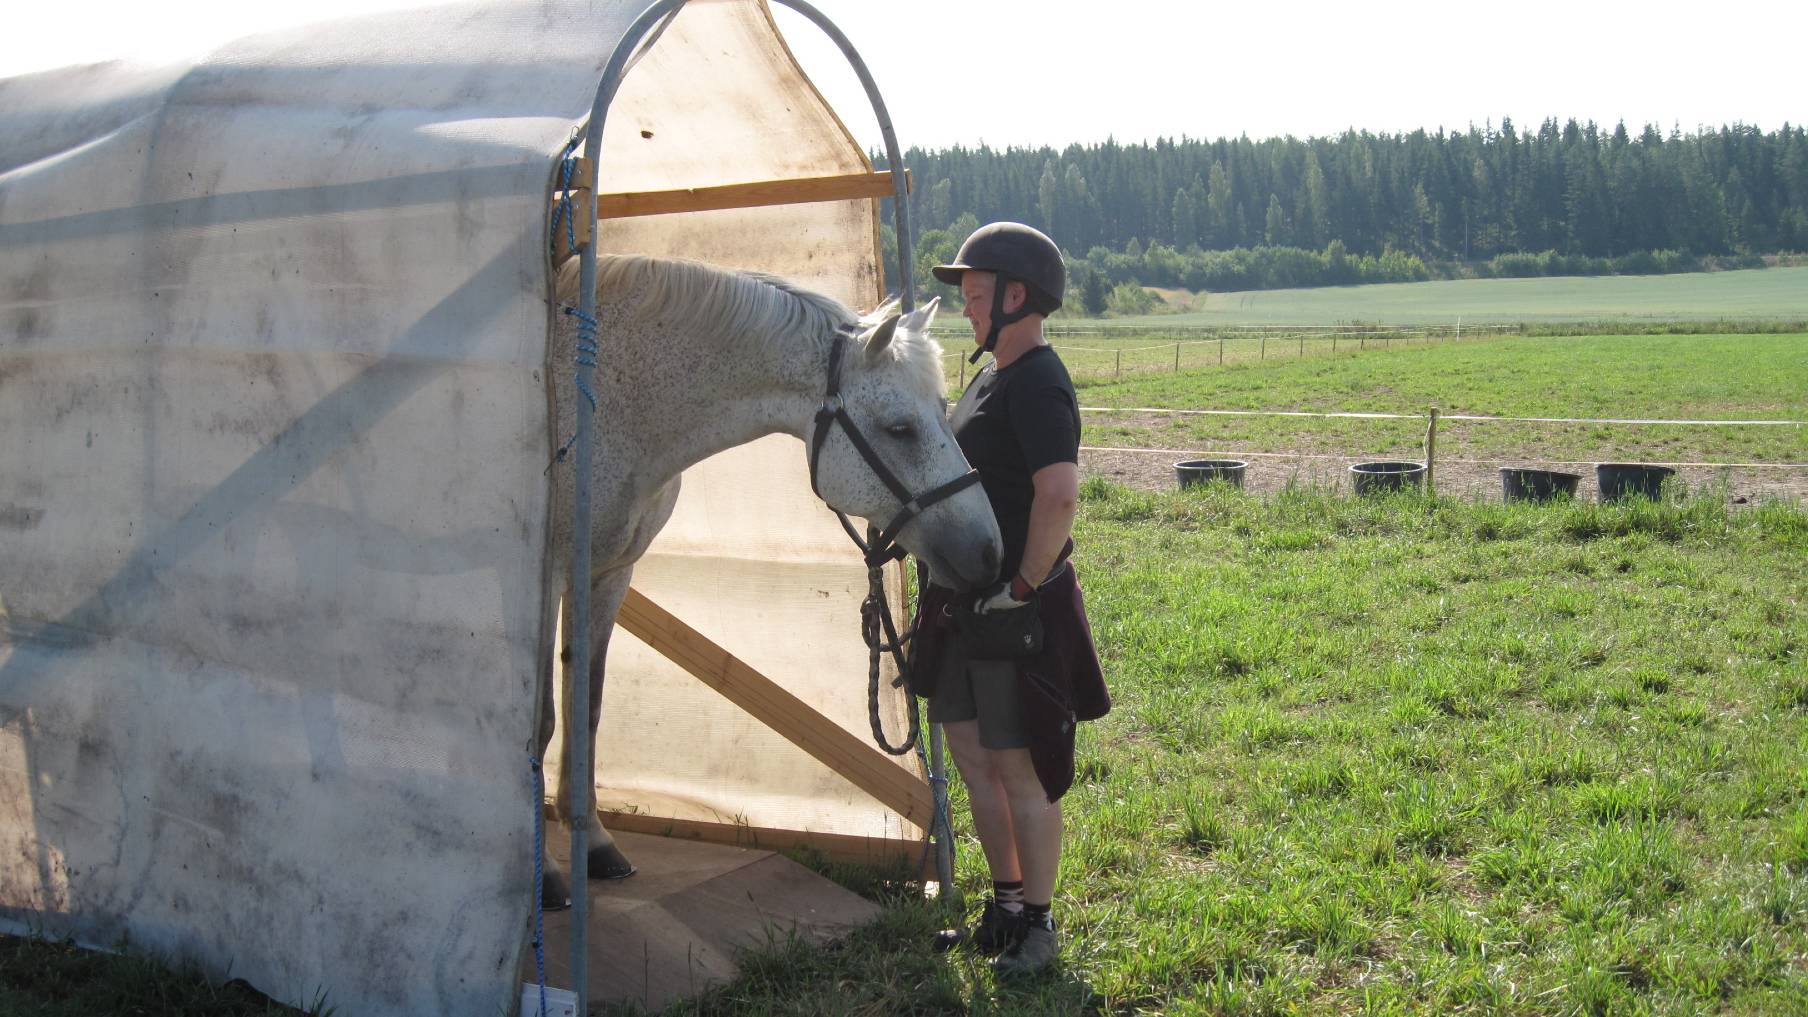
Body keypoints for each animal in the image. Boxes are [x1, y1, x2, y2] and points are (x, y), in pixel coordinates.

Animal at [542, 255, 1012, 901]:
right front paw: (543, 876)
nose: (989, 552)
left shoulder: (608, 572)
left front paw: (592, 843)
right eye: (899, 429)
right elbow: (539, 718)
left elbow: (584, 704)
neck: (602, 402)